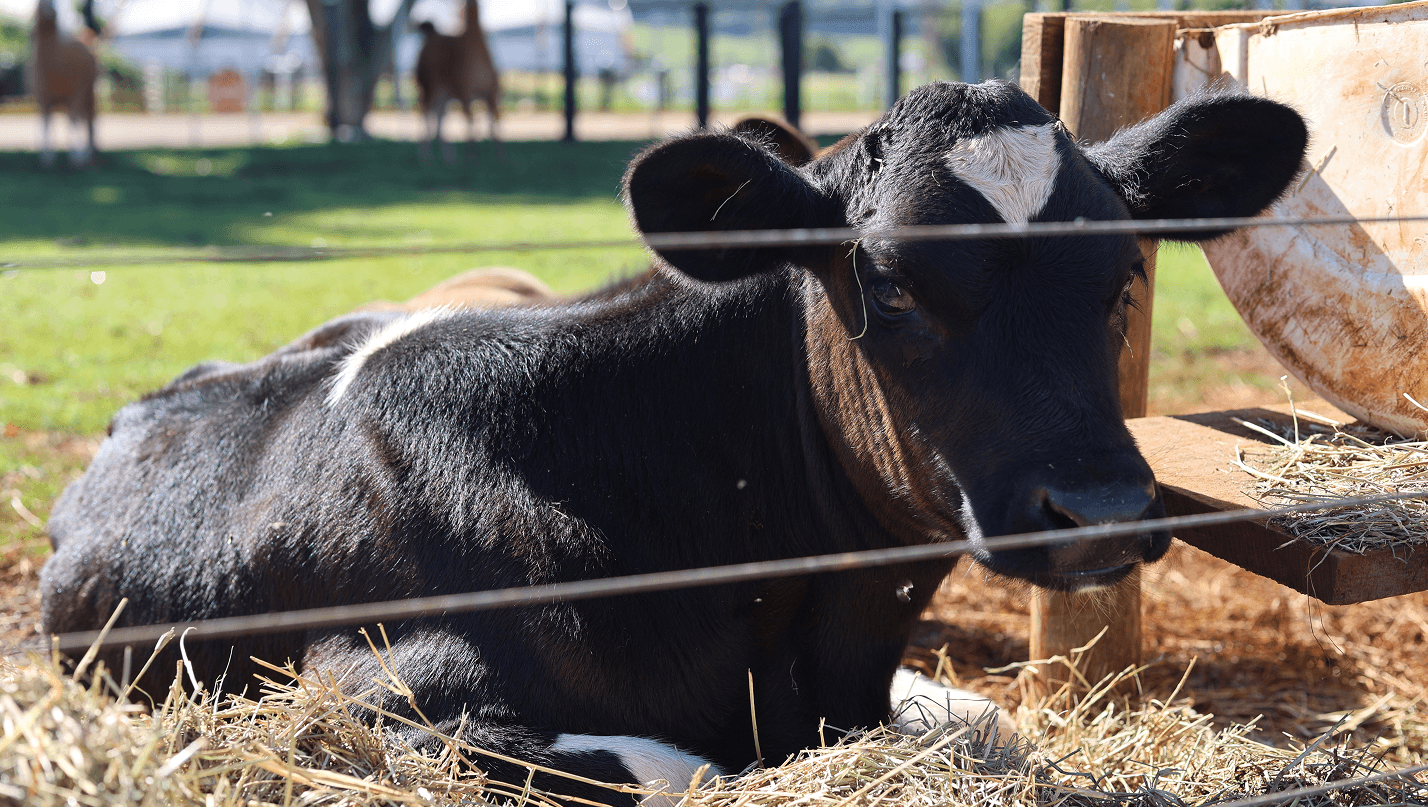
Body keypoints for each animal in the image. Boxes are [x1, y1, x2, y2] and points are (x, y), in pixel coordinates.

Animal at [41, 81, 1307, 805]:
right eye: (891, 284)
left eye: (1125, 272)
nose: (1099, 511)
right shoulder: (364, 686)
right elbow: (673, 770)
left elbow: (974, 720)